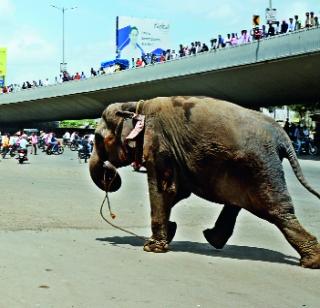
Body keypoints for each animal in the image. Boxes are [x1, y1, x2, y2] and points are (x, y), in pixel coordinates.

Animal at [88, 95, 320, 268]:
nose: (109, 172)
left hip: (261, 166)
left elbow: (164, 189)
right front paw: (170, 232)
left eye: (98, 139)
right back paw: (213, 238)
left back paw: (311, 261)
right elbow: (177, 191)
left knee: (275, 209)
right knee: (239, 202)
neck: (137, 106)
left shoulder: (158, 145)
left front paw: (152, 248)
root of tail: (283, 136)